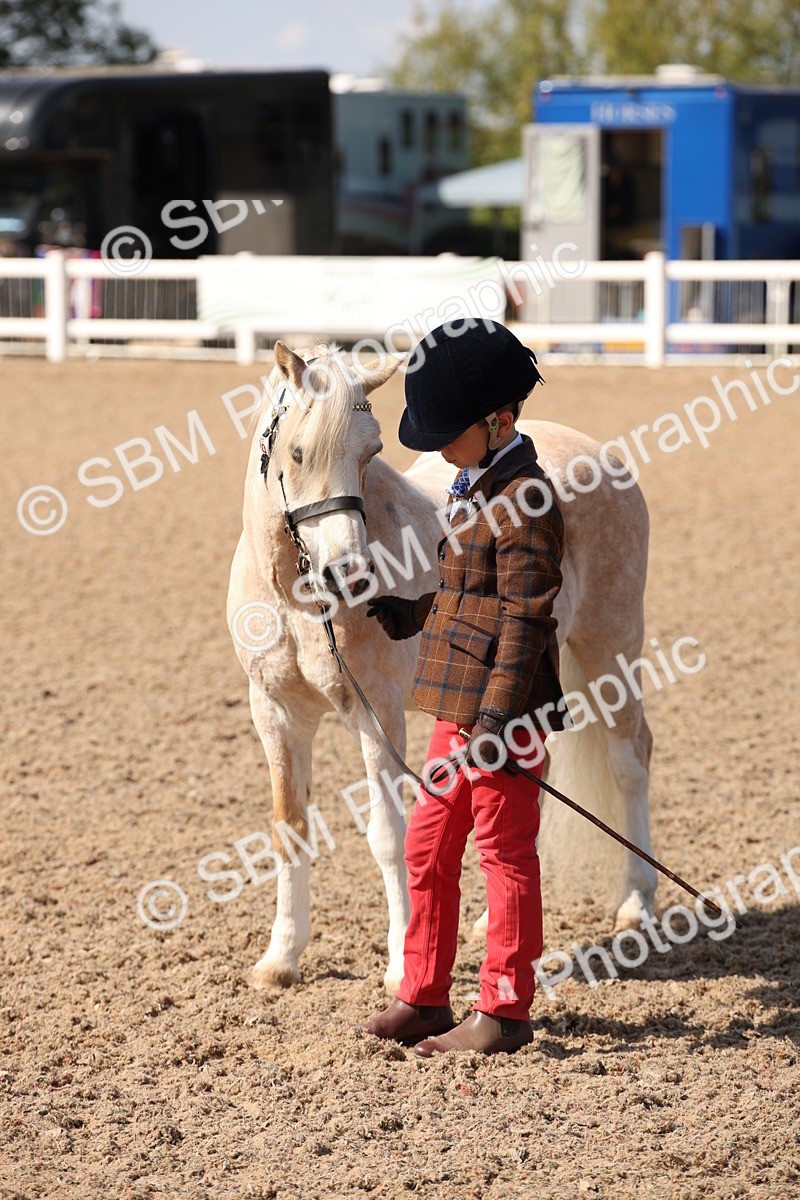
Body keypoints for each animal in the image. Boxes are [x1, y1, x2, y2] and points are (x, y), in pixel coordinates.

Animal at [227, 340, 656, 993]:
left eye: (371, 452)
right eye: (297, 452)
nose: (348, 574)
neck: (296, 601)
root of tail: (598, 454)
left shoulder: (377, 714)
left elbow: (388, 836)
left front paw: (402, 964)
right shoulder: (275, 714)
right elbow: (290, 827)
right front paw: (281, 958)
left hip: (611, 646)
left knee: (631, 760)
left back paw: (637, 902)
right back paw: (488, 922)